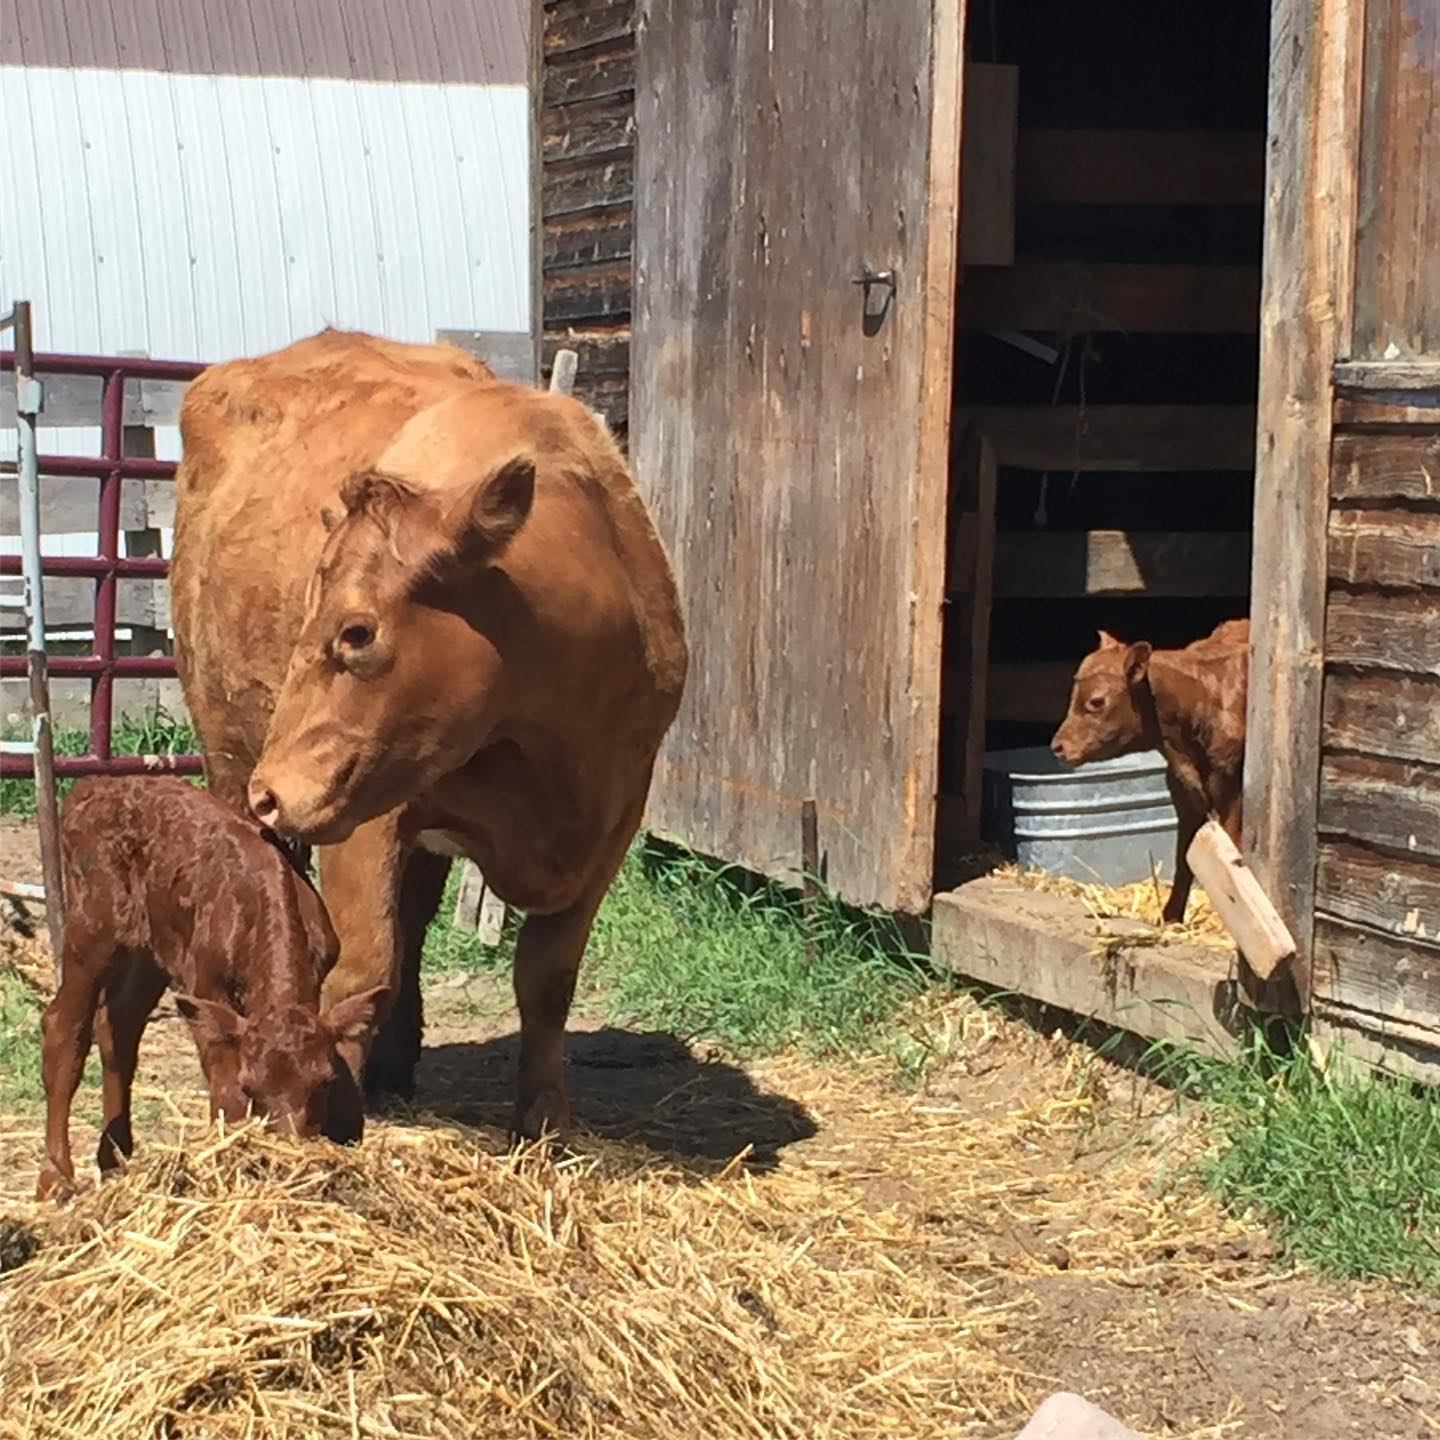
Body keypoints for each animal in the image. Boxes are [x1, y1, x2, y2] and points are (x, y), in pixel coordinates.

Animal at [37, 777, 381, 1199]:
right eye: (252, 1089)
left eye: (324, 1084)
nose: (290, 1148)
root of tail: (93, 785)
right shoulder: (205, 983)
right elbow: (225, 1087)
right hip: (91, 929)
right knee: (64, 1030)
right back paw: (55, 1177)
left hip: (150, 950)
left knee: (120, 1025)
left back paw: (116, 1158)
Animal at [169, 329, 688, 1140]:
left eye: (357, 631)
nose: (274, 791)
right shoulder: (362, 809)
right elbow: (362, 964)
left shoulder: (614, 818)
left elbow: (547, 977)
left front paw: (545, 1123)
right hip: (228, 752)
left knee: (411, 919)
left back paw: (393, 1064)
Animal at [1050, 619, 1250, 924]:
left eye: (1097, 701)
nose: (1058, 746)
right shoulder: (1184, 796)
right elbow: (1184, 857)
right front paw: (1170, 918)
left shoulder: (1231, 792)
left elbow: (1231, 854)